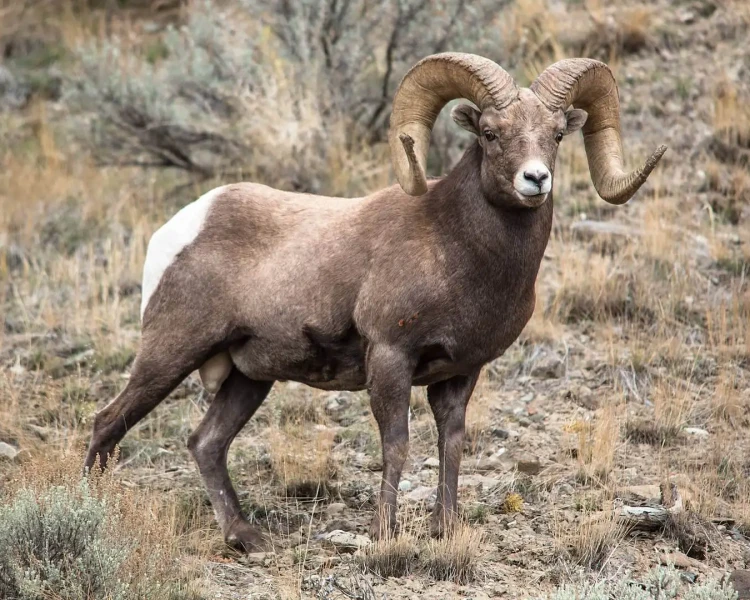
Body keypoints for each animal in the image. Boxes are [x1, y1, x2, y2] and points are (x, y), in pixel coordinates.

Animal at [84, 53, 667, 551]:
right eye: (490, 133)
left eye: (556, 135)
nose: (535, 179)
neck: (455, 248)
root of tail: (182, 225)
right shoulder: (390, 358)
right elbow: (397, 445)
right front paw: (385, 534)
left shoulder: (460, 374)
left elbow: (451, 445)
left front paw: (445, 529)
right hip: (169, 353)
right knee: (108, 423)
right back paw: (94, 511)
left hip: (248, 379)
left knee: (205, 443)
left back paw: (246, 538)